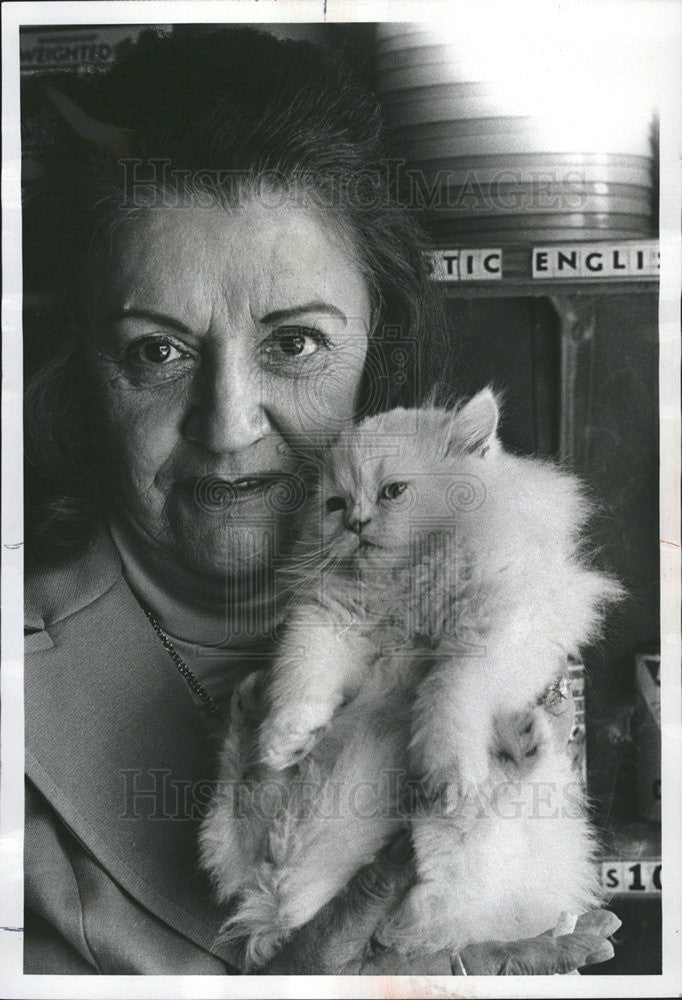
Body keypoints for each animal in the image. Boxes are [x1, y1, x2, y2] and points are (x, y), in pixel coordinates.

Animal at [199, 390, 620, 968]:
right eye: (335, 504)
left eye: (393, 492)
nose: (355, 523)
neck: (407, 587)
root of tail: (279, 902)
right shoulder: (326, 622)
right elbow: (303, 677)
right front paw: (287, 735)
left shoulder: (500, 624)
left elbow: (451, 689)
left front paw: (448, 768)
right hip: (260, 842)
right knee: (243, 824)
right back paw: (253, 722)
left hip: (490, 845)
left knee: (455, 853)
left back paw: (508, 754)